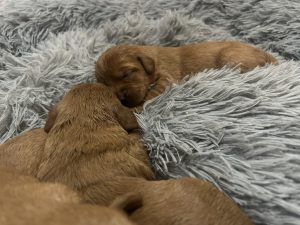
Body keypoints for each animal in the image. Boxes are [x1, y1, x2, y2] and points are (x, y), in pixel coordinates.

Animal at [97, 41, 278, 107]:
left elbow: (152, 94)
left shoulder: (167, 76)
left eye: (127, 74)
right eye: (105, 85)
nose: (121, 99)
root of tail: (267, 55)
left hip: (231, 58)